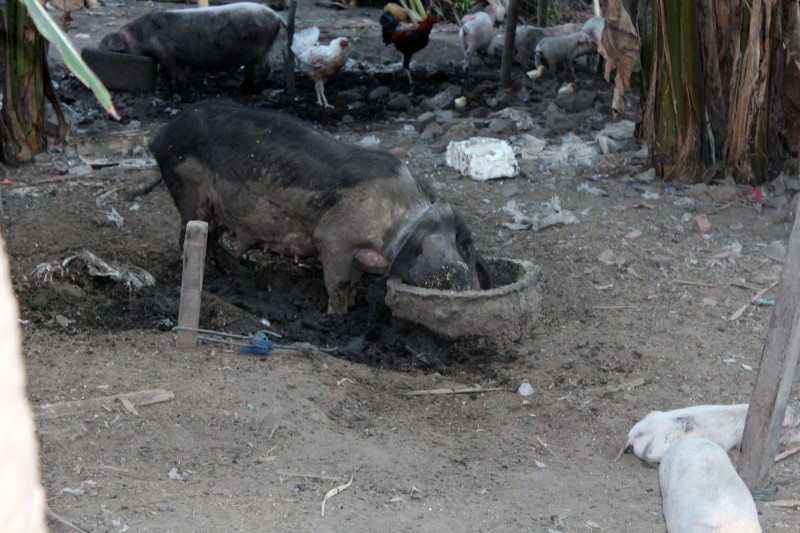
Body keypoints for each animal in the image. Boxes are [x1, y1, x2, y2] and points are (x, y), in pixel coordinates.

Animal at [99, 2, 282, 93]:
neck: (142, 35)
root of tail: (276, 16)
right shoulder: (179, 57)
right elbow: (180, 73)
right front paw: (183, 90)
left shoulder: (165, 52)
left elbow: (170, 71)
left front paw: (173, 92)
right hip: (264, 49)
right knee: (267, 68)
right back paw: (256, 89)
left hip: (252, 51)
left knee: (257, 71)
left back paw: (243, 91)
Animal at [147, 102, 490, 314]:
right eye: (464, 254)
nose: (473, 290)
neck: (401, 219)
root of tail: (160, 135)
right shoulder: (335, 235)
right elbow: (337, 281)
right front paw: (337, 317)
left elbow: (352, 281)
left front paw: (352, 305)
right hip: (190, 190)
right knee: (189, 236)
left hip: (217, 208)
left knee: (214, 238)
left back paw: (242, 271)